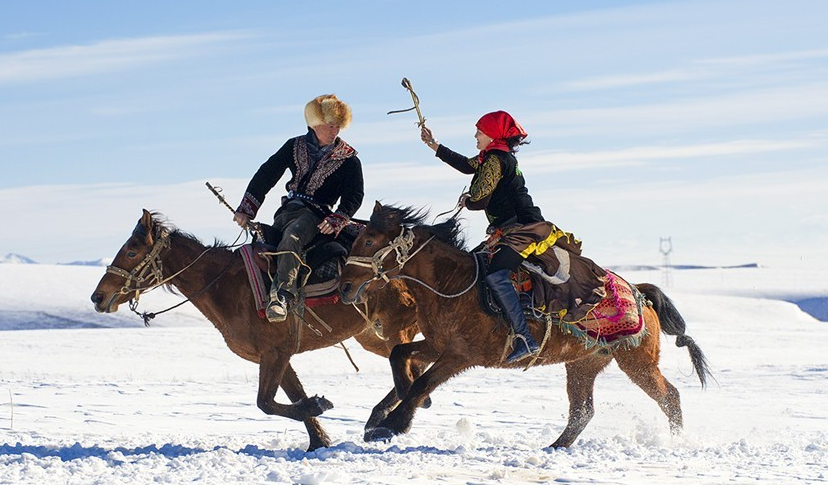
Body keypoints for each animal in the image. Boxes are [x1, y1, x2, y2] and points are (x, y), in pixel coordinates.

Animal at [91, 209, 422, 451]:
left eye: (131, 252)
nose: (98, 297)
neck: (225, 285)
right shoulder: (278, 355)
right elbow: (293, 397)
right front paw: (318, 439)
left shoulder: (275, 353)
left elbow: (266, 403)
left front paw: (319, 406)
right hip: (372, 335)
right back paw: (382, 420)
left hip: (394, 328)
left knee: (412, 366)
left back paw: (384, 421)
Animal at [339, 202, 712, 447]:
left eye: (369, 241)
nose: (343, 287)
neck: (452, 284)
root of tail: (639, 294)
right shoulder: (436, 345)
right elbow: (400, 356)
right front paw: (386, 414)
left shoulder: (459, 356)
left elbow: (421, 383)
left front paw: (392, 424)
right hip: (583, 364)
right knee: (582, 411)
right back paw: (555, 447)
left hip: (637, 362)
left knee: (670, 397)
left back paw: (677, 442)